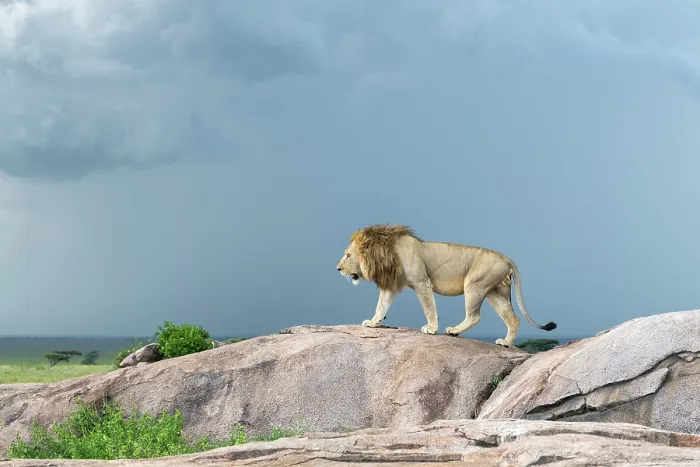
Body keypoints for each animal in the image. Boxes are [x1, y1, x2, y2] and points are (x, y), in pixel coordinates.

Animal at [336, 224, 556, 347]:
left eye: (347, 255)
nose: (337, 268)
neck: (385, 251)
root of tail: (508, 258)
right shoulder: (391, 285)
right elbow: (381, 306)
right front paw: (373, 323)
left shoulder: (422, 283)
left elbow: (429, 308)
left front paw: (432, 328)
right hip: (496, 293)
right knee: (513, 319)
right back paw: (506, 343)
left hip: (474, 285)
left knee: (474, 315)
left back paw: (454, 330)